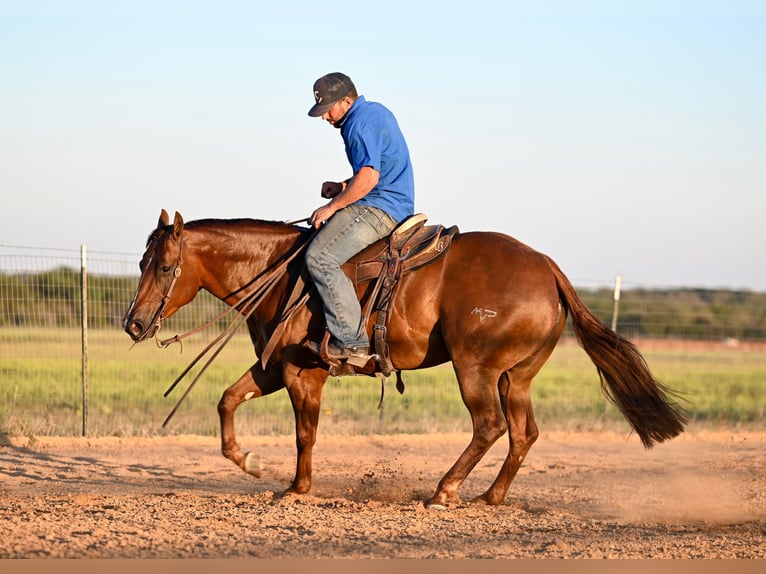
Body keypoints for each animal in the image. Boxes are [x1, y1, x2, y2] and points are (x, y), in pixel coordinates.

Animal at [123, 210, 688, 508]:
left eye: (165, 265)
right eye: (142, 260)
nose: (133, 323)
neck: (284, 274)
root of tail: (548, 267)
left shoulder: (302, 372)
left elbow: (305, 433)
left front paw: (298, 489)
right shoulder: (272, 368)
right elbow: (226, 400)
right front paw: (250, 461)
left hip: (475, 367)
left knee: (489, 426)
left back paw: (445, 490)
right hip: (515, 375)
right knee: (523, 433)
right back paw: (491, 498)